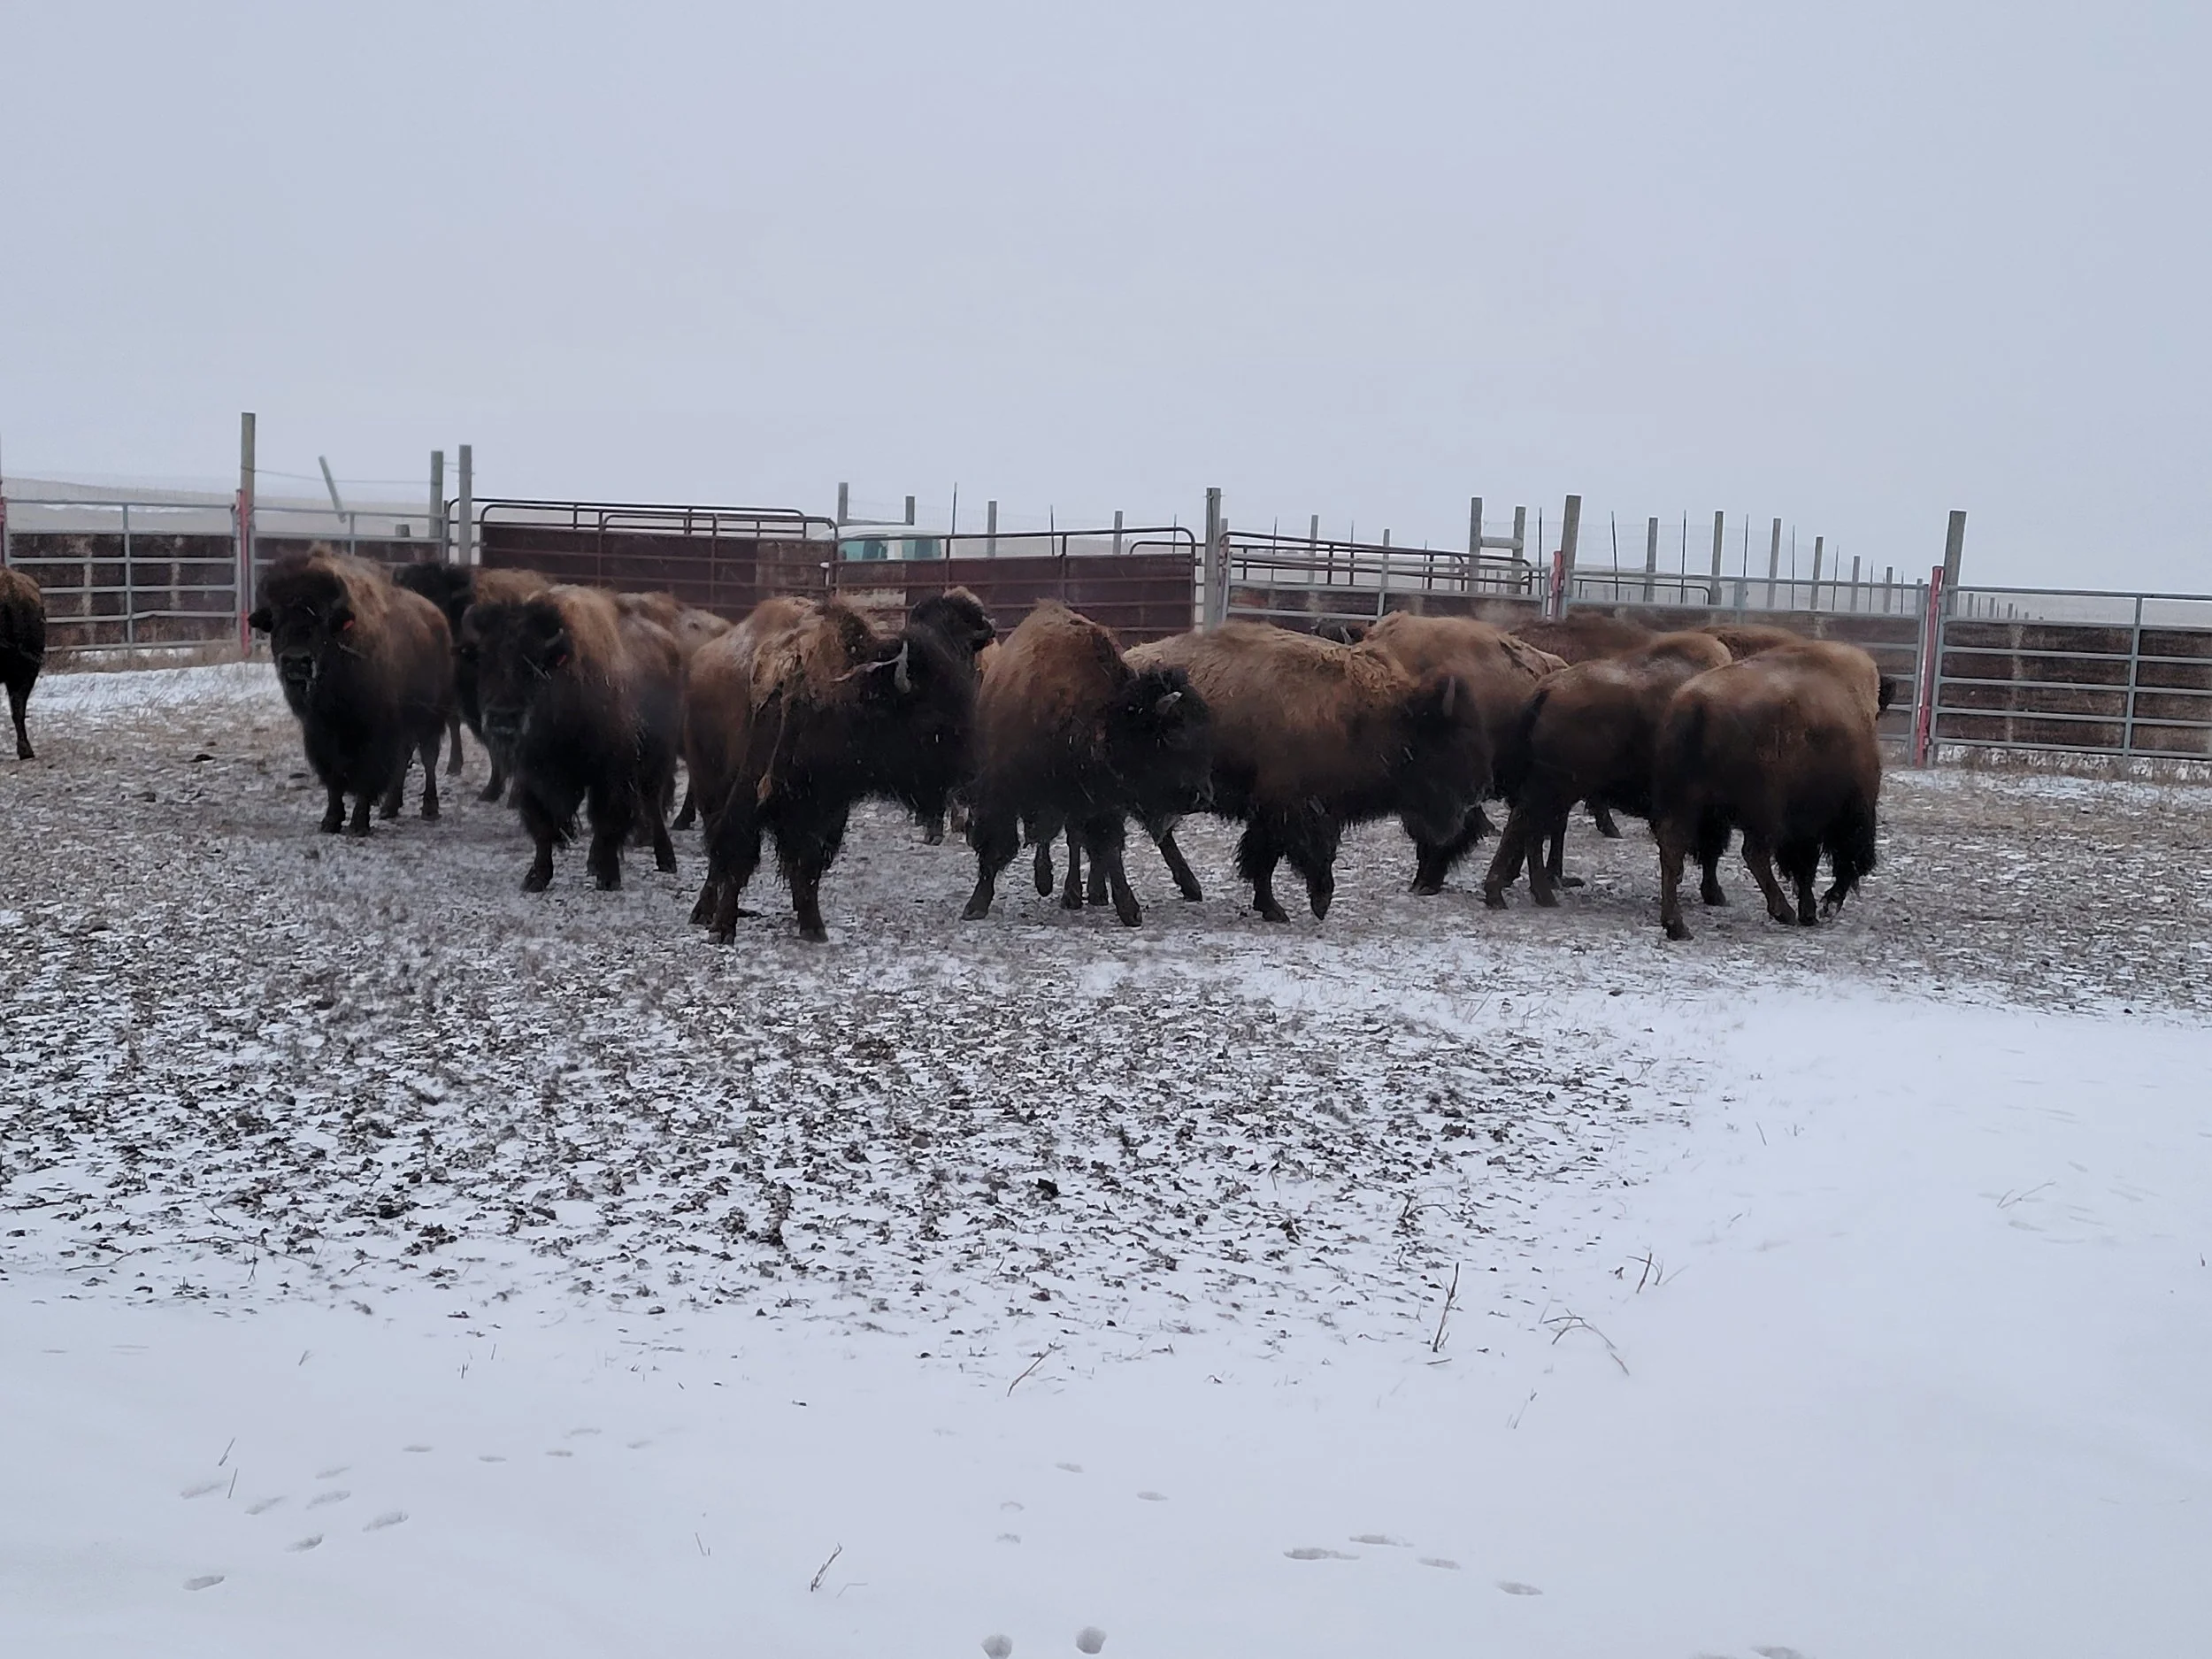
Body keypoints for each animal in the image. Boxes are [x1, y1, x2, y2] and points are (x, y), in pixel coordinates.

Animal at [250, 548, 455, 834]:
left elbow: (366, 776)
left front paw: (359, 823)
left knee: (428, 757)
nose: (296, 661)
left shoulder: (373, 732)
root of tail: (437, 618)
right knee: (404, 758)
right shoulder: (320, 733)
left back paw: (429, 808)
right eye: (276, 621)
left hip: (431, 717)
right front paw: (331, 820)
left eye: (322, 620)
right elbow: (334, 778)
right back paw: (390, 808)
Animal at [960, 601, 1211, 927]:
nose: (1203, 795)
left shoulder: (1100, 802)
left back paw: (1082, 892)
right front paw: (976, 905)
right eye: (1174, 734)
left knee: (1076, 843)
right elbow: (996, 846)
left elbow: (1108, 849)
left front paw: (1128, 908)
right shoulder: (1002, 793)